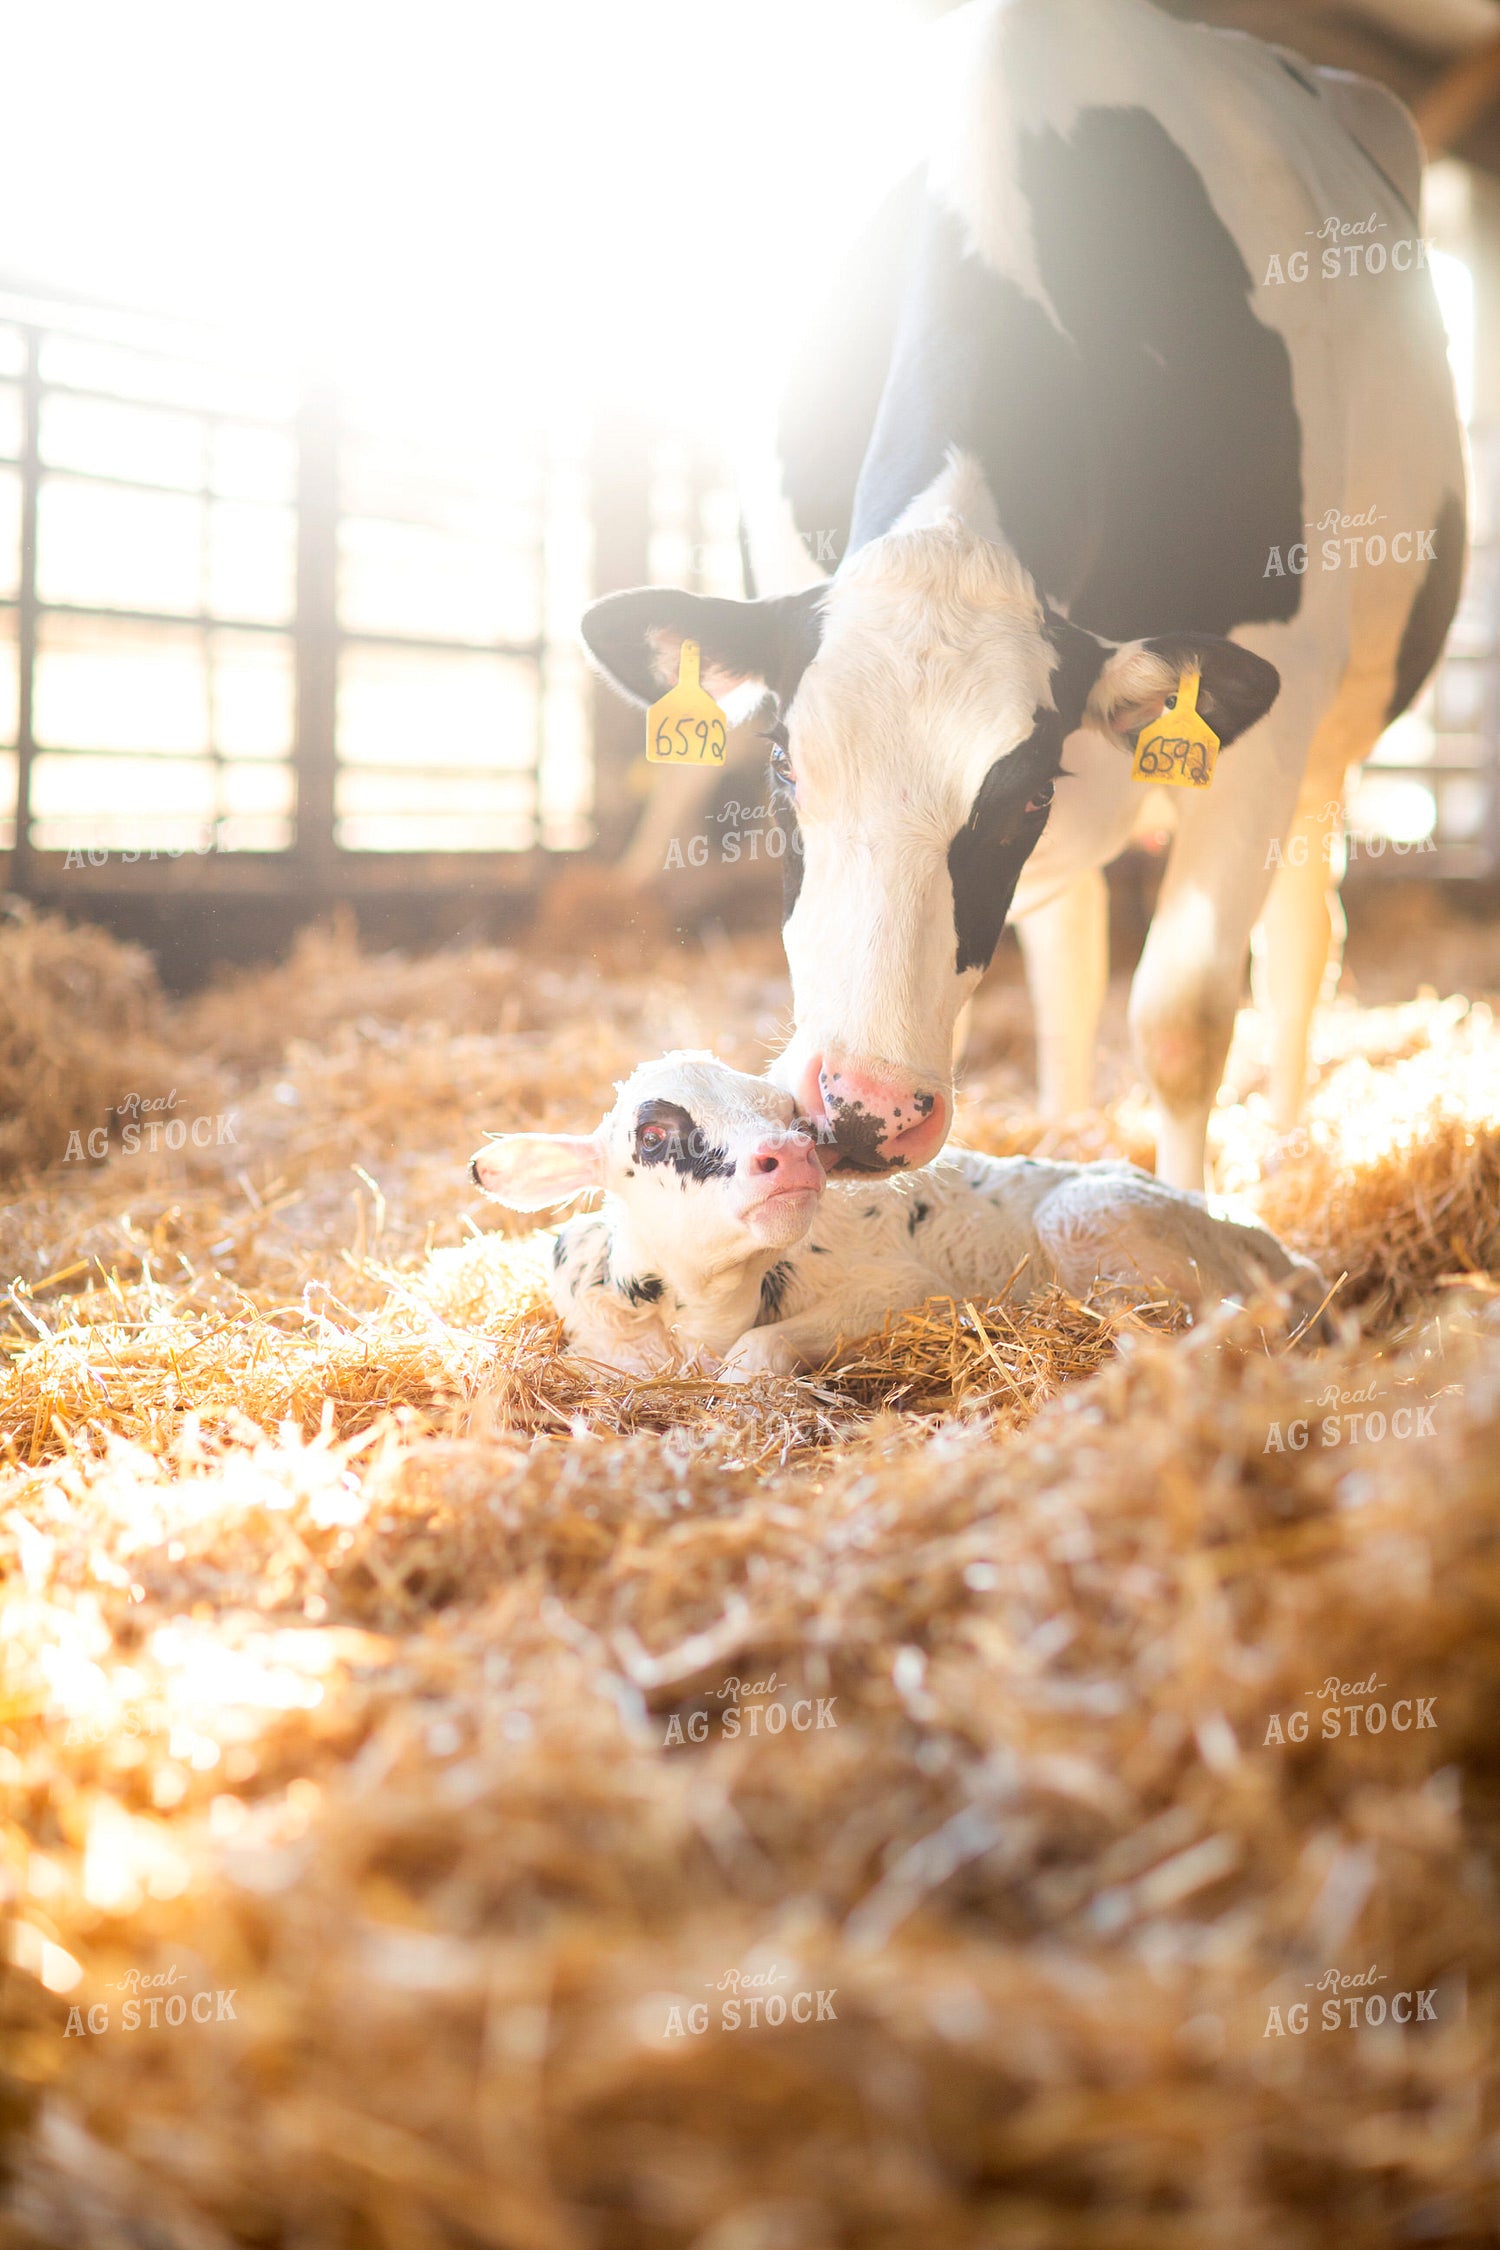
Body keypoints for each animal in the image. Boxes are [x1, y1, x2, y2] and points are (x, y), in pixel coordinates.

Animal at [470, 1050, 1329, 1377]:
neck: (700, 1317)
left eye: (788, 1113)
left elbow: (759, 1353)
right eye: (651, 1134)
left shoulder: (907, 1292)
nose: (790, 1153)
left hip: (1093, 1217)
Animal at [581, 0, 1465, 1191]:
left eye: (1025, 795)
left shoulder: (1274, 703)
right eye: (780, 769)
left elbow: (1184, 1017)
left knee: (1298, 940)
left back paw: (1285, 1148)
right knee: (1074, 955)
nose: (863, 1111)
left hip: (1339, 721)